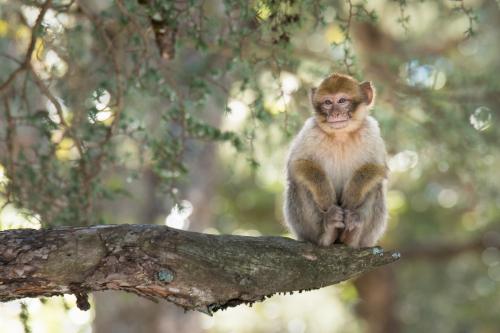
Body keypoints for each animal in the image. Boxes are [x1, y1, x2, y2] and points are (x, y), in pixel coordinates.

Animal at [284, 72, 388, 246]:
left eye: (342, 101)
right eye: (327, 102)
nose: (335, 114)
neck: (341, 136)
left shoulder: (371, 131)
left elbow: (377, 168)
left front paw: (352, 195)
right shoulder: (310, 130)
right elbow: (297, 164)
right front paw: (326, 196)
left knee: (375, 185)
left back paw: (352, 234)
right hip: (305, 231)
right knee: (298, 183)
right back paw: (328, 231)